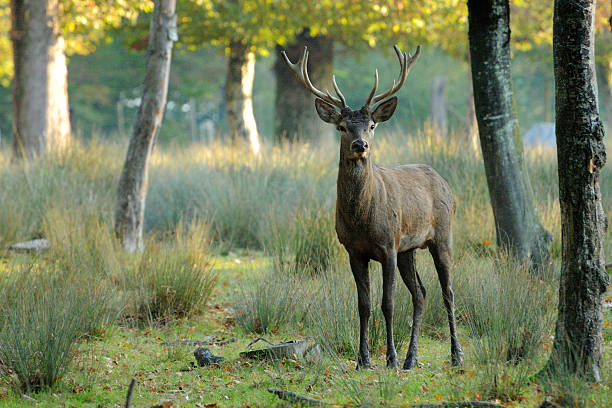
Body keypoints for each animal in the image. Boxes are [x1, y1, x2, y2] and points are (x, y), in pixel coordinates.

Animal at [282, 44, 464, 370]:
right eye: (342, 126)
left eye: (372, 125)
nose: (360, 145)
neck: (362, 221)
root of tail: (445, 182)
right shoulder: (354, 251)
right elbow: (363, 305)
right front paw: (363, 360)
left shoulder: (388, 245)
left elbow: (387, 303)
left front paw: (389, 358)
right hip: (409, 249)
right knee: (421, 293)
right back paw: (412, 359)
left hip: (442, 235)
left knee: (448, 292)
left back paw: (455, 355)